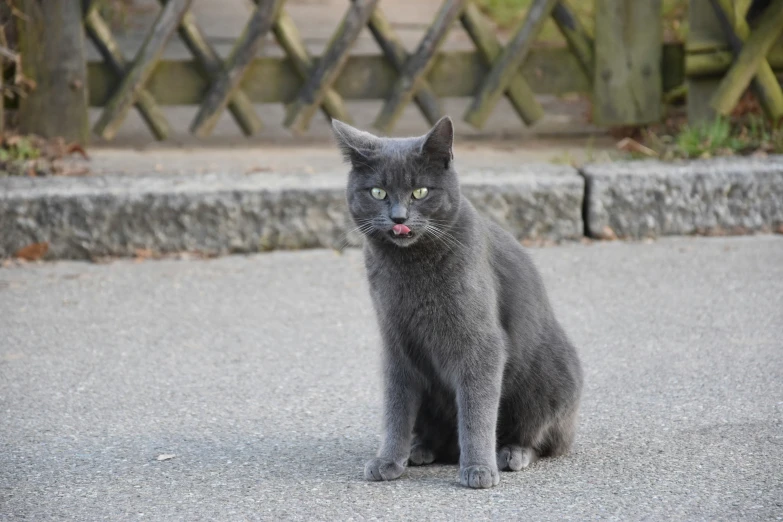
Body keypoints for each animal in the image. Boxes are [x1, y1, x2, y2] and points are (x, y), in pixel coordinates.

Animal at [330, 116, 580, 486]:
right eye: (378, 192)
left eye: (420, 191)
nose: (399, 218)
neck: (411, 267)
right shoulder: (396, 344)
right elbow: (395, 409)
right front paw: (388, 460)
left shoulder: (481, 344)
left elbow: (477, 411)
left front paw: (478, 468)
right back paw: (419, 450)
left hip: (550, 378)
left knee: (542, 437)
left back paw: (511, 453)